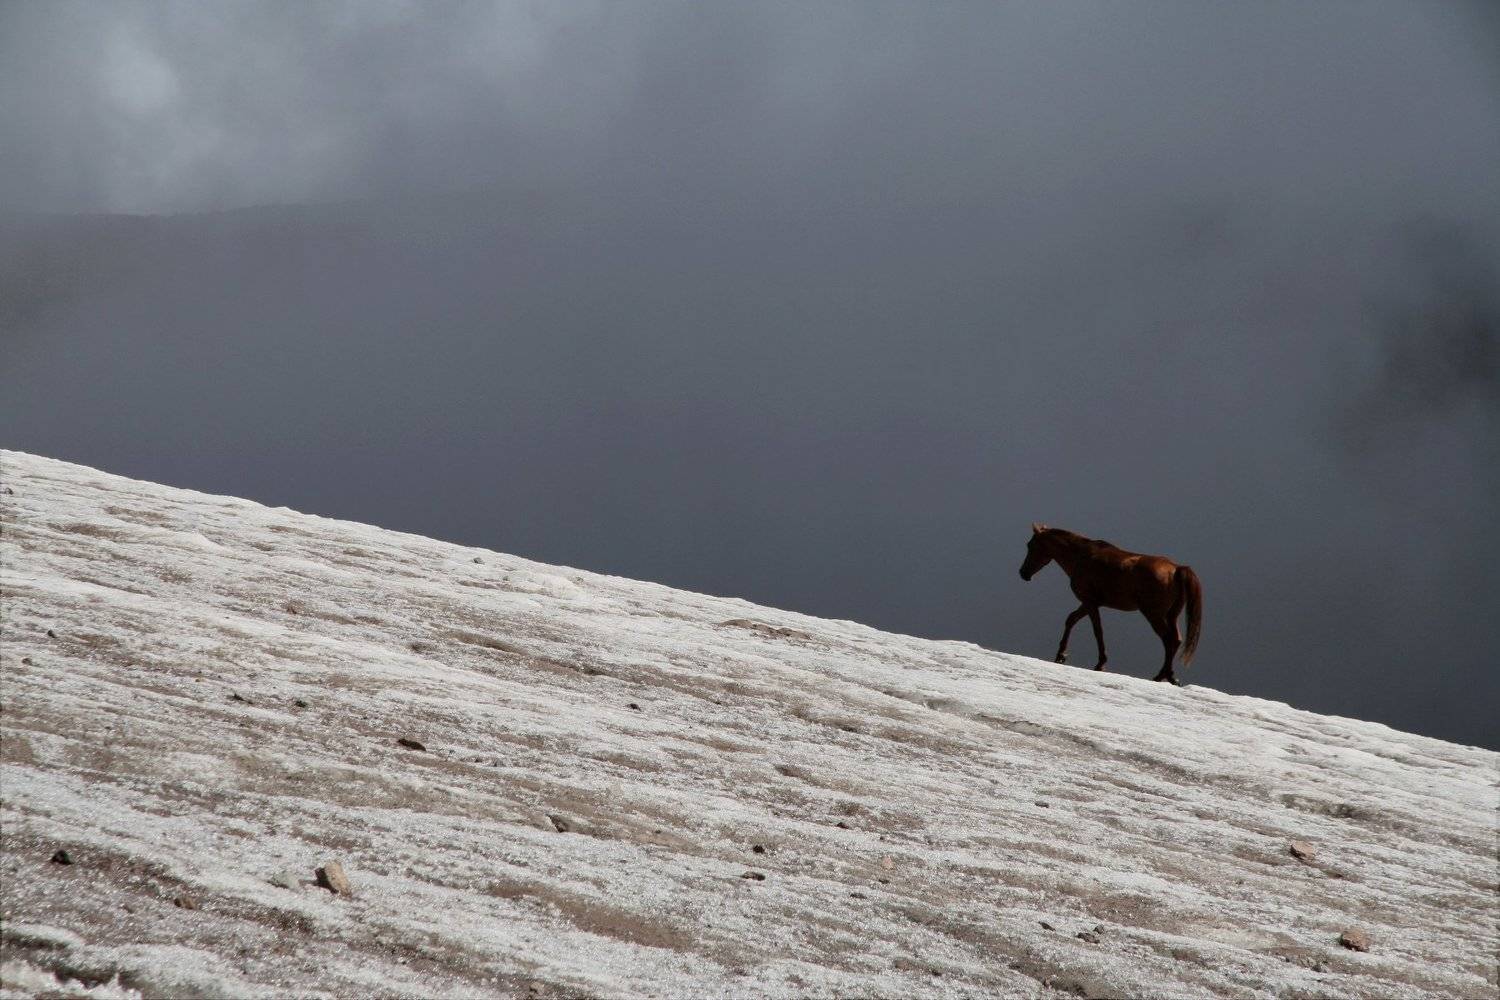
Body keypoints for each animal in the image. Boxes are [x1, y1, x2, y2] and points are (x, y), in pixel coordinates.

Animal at [1018, 523, 1202, 685]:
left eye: (1030, 545)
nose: (1023, 573)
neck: (1081, 557)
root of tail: (1177, 569)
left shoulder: (1090, 602)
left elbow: (1097, 630)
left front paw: (1100, 664)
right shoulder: (1089, 603)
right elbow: (1071, 620)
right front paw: (1061, 655)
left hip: (1154, 614)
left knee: (1168, 639)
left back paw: (1161, 676)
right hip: (1171, 615)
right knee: (1176, 640)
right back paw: (1170, 677)